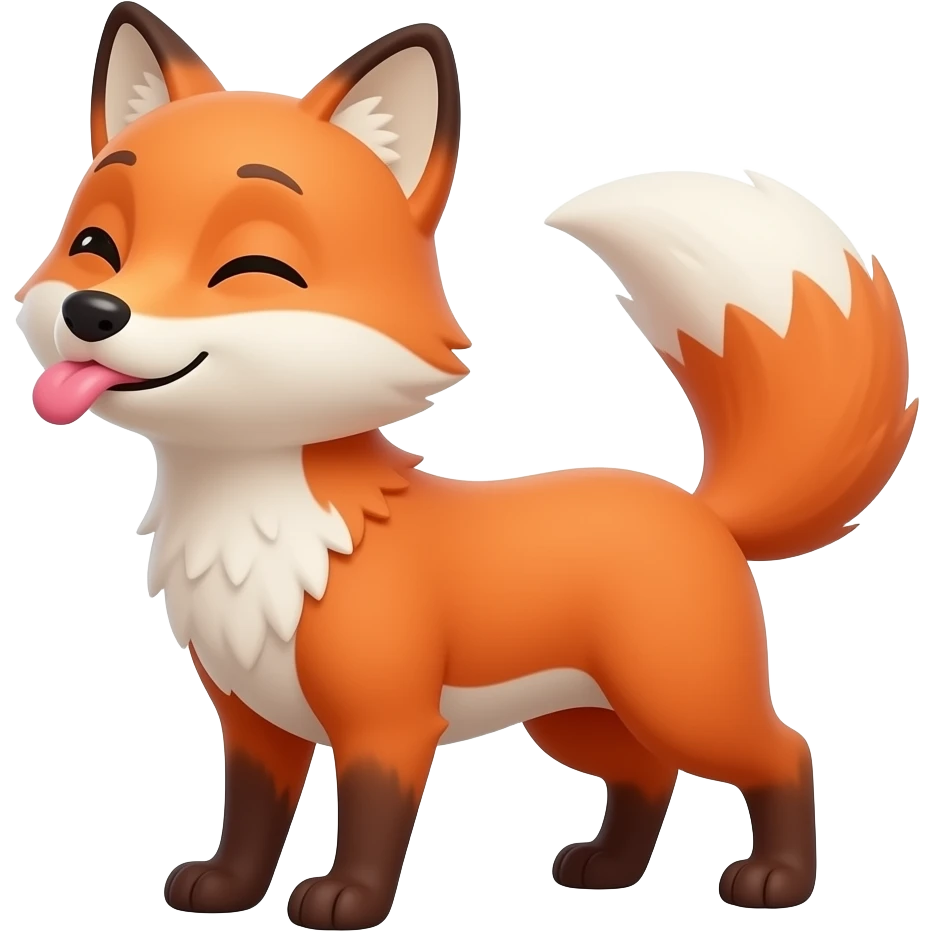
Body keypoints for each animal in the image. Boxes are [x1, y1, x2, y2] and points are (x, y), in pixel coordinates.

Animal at [14, 2, 917, 928]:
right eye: (94, 245)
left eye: (251, 269)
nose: (93, 312)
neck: (257, 527)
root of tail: (701, 507)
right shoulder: (253, 720)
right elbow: (252, 818)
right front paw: (226, 890)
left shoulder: (388, 721)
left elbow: (371, 818)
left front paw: (346, 900)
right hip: (579, 717)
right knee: (646, 773)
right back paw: (608, 869)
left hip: (681, 697)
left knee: (784, 750)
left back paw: (777, 881)